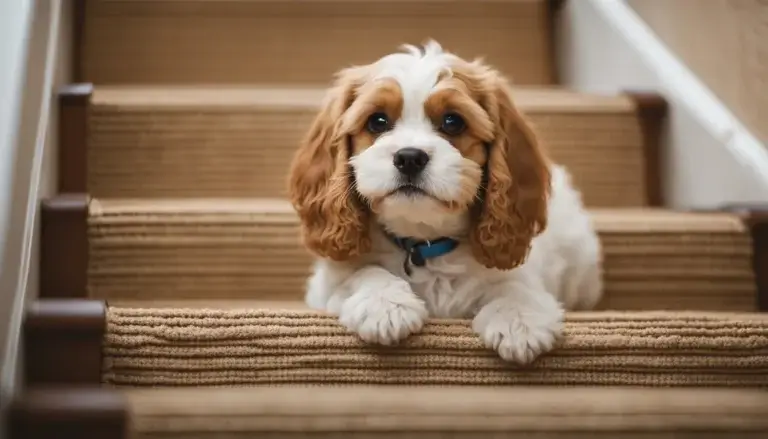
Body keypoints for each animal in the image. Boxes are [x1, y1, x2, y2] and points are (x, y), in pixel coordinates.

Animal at [284, 41, 604, 364]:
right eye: (377, 121)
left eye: (453, 122)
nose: (409, 157)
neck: (424, 242)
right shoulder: (324, 286)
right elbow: (361, 273)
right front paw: (385, 305)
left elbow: (515, 286)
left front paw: (519, 319)